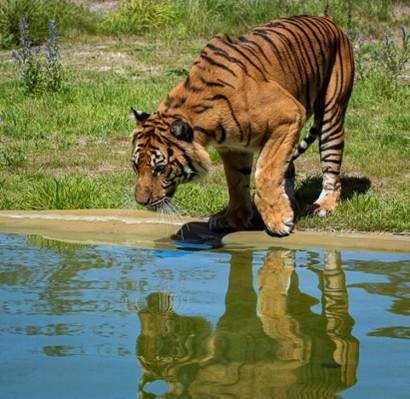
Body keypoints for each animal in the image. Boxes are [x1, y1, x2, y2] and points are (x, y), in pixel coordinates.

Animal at [130, 15, 354, 236]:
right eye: (135, 166)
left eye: (160, 168)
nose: (141, 202)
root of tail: (330, 22)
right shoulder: (232, 147)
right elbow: (236, 183)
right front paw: (233, 220)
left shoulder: (288, 116)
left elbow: (265, 173)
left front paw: (278, 220)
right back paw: (290, 201)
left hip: (331, 114)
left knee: (331, 167)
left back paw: (323, 205)